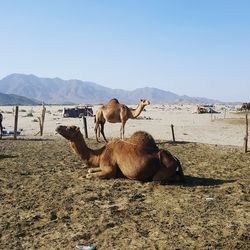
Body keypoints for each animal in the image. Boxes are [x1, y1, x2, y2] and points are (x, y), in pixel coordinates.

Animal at [57, 125, 186, 182]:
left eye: (70, 128)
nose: (58, 127)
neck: (99, 154)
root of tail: (175, 158)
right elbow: (90, 170)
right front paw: (90, 170)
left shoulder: (109, 168)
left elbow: (91, 174)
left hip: (163, 170)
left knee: (160, 178)